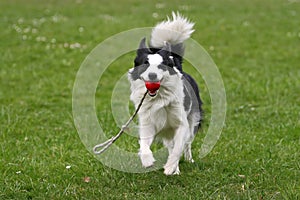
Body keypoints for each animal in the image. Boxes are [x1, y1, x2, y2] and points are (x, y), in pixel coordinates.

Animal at [127, 12, 203, 175]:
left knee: (186, 143)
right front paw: (147, 161)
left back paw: (187, 161)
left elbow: (178, 147)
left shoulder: (181, 124)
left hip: (193, 119)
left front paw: (170, 168)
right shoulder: (148, 122)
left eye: (162, 65)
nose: (152, 76)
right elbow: (144, 144)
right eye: (145, 64)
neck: (159, 98)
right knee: (170, 146)